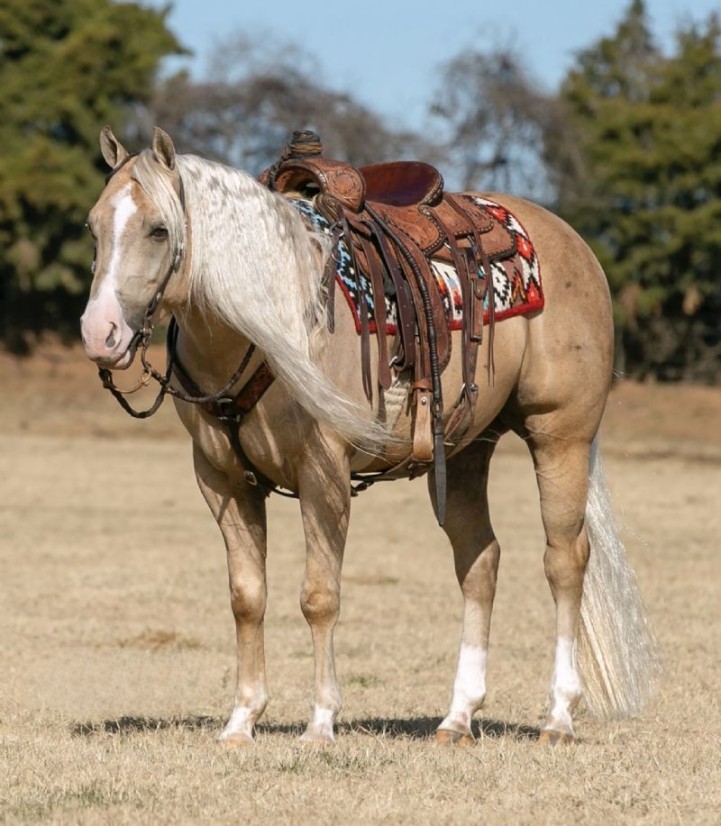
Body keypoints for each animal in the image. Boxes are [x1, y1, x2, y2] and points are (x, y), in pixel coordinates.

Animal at [80, 126, 659, 746]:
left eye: (159, 229)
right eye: (93, 227)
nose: (99, 332)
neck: (269, 319)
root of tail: (570, 240)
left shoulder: (323, 472)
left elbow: (319, 597)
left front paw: (320, 722)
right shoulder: (223, 480)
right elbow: (247, 598)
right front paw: (242, 720)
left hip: (560, 437)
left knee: (565, 561)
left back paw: (558, 715)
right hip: (467, 450)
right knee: (480, 563)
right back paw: (457, 717)